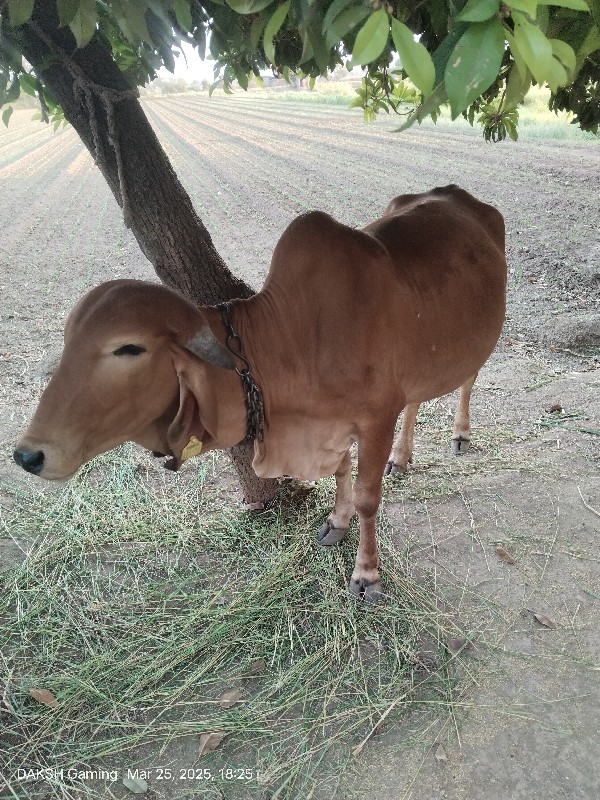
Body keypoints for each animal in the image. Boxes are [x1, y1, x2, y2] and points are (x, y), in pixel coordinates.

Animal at [14, 186, 504, 600]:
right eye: (68, 339)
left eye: (129, 348)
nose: (27, 455)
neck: (298, 335)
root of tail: (461, 196)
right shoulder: (333, 424)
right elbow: (341, 474)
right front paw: (337, 521)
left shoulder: (375, 417)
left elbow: (367, 497)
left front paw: (367, 574)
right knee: (417, 397)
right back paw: (402, 457)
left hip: (479, 341)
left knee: (467, 379)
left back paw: (460, 433)